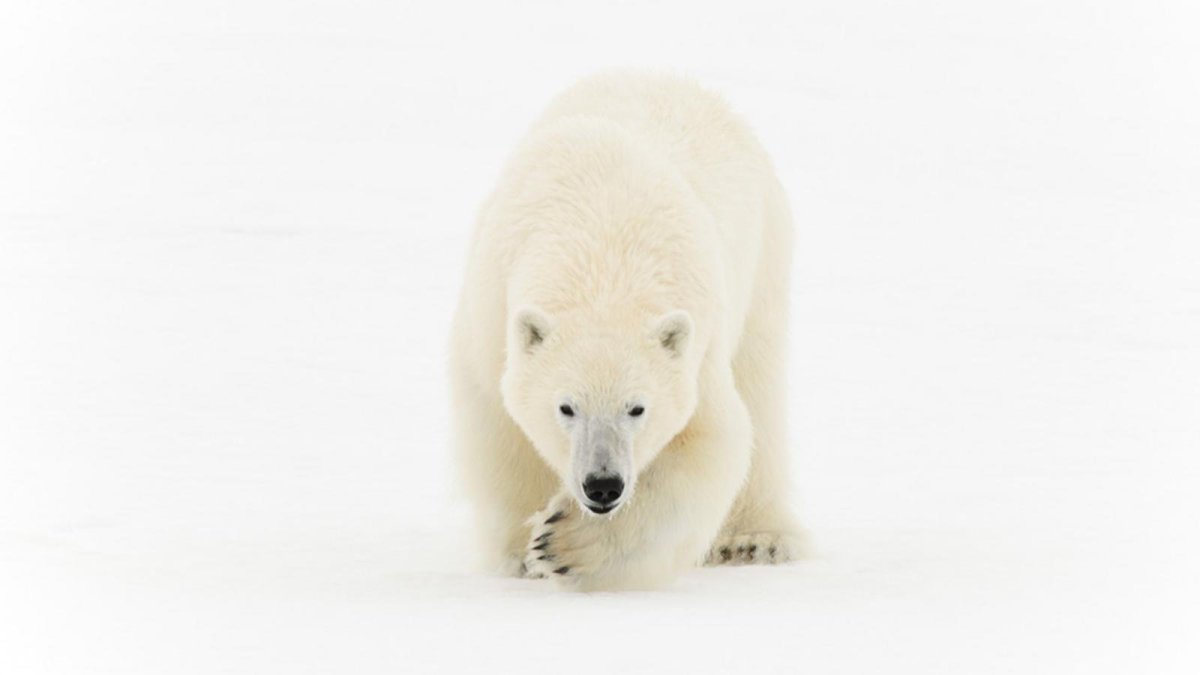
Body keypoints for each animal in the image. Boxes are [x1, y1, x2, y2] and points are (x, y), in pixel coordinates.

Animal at [449, 72, 806, 591]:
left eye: (637, 408)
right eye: (566, 407)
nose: (603, 486)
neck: (603, 250)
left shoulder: (698, 340)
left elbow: (711, 440)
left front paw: (565, 543)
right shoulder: (491, 312)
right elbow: (501, 427)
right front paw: (522, 554)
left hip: (764, 254)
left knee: (760, 386)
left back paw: (757, 540)